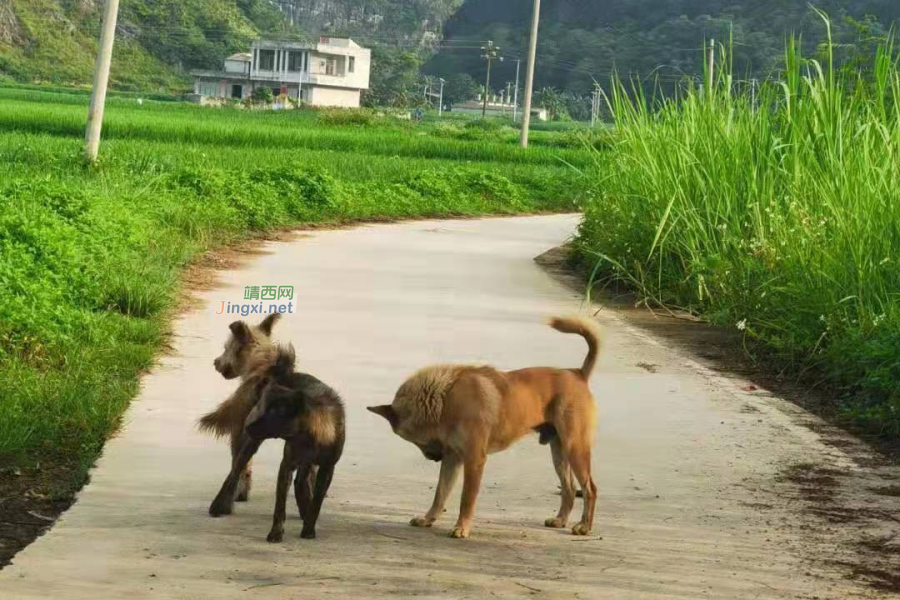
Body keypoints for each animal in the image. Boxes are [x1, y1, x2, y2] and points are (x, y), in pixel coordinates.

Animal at [207, 344, 344, 540]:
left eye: (274, 414)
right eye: (263, 409)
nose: (248, 424)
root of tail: (282, 375)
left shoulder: (327, 468)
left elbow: (316, 501)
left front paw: (309, 528)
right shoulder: (286, 465)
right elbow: (280, 505)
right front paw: (276, 533)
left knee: (301, 482)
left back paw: (304, 510)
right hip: (251, 444)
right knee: (235, 471)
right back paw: (219, 505)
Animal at [366, 316, 604, 540]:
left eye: (413, 440)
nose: (433, 458)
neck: (446, 399)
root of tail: (578, 374)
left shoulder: (474, 460)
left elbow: (466, 499)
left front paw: (461, 528)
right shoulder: (452, 459)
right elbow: (440, 493)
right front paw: (428, 519)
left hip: (576, 448)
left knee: (589, 488)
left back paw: (584, 526)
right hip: (559, 452)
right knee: (570, 488)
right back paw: (561, 520)